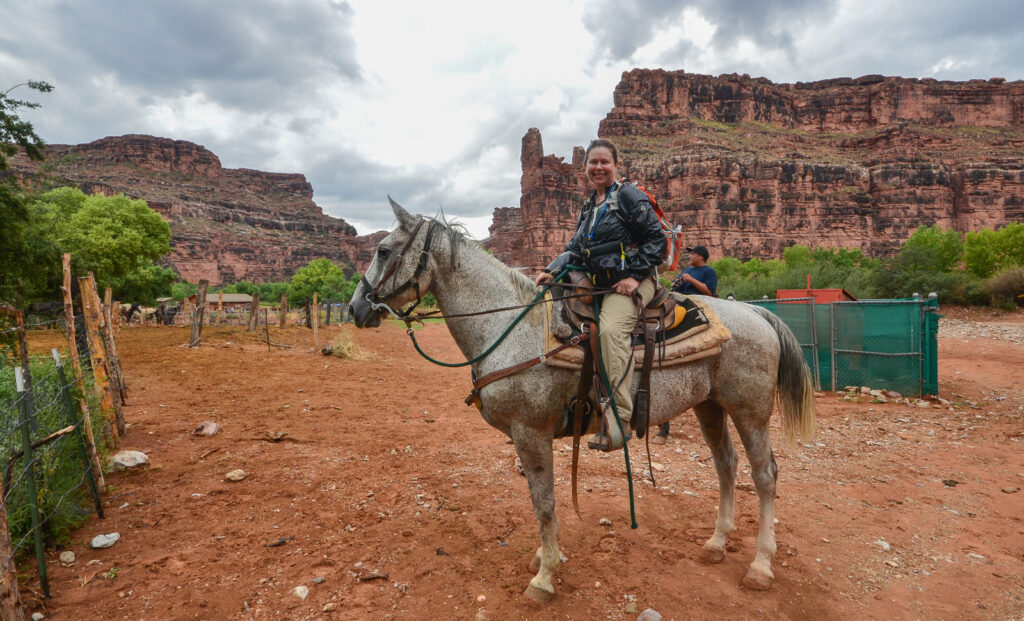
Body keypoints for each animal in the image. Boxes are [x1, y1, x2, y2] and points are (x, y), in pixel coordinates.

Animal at [352, 200, 815, 602]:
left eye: (383, 249)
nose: (357, 308)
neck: (513, 329)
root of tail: (757, 313)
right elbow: (542, 501)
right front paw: (547, 556)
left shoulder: (531, 432)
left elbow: (544, 503)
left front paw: (544, 577)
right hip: (710, 406)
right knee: (726, 466)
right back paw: (716, 543)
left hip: (750, 410)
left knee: (765, 475)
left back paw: (760, 566)